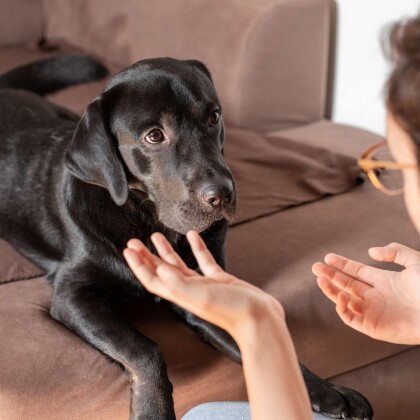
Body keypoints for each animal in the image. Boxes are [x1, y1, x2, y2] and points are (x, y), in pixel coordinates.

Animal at [0, 56, 374, 420]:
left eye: (213, 117)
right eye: (154, 136)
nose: (222, 195)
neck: (147, 222)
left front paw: (325, 390)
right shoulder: (73, 294)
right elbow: (145, 349)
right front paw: (153, 409)